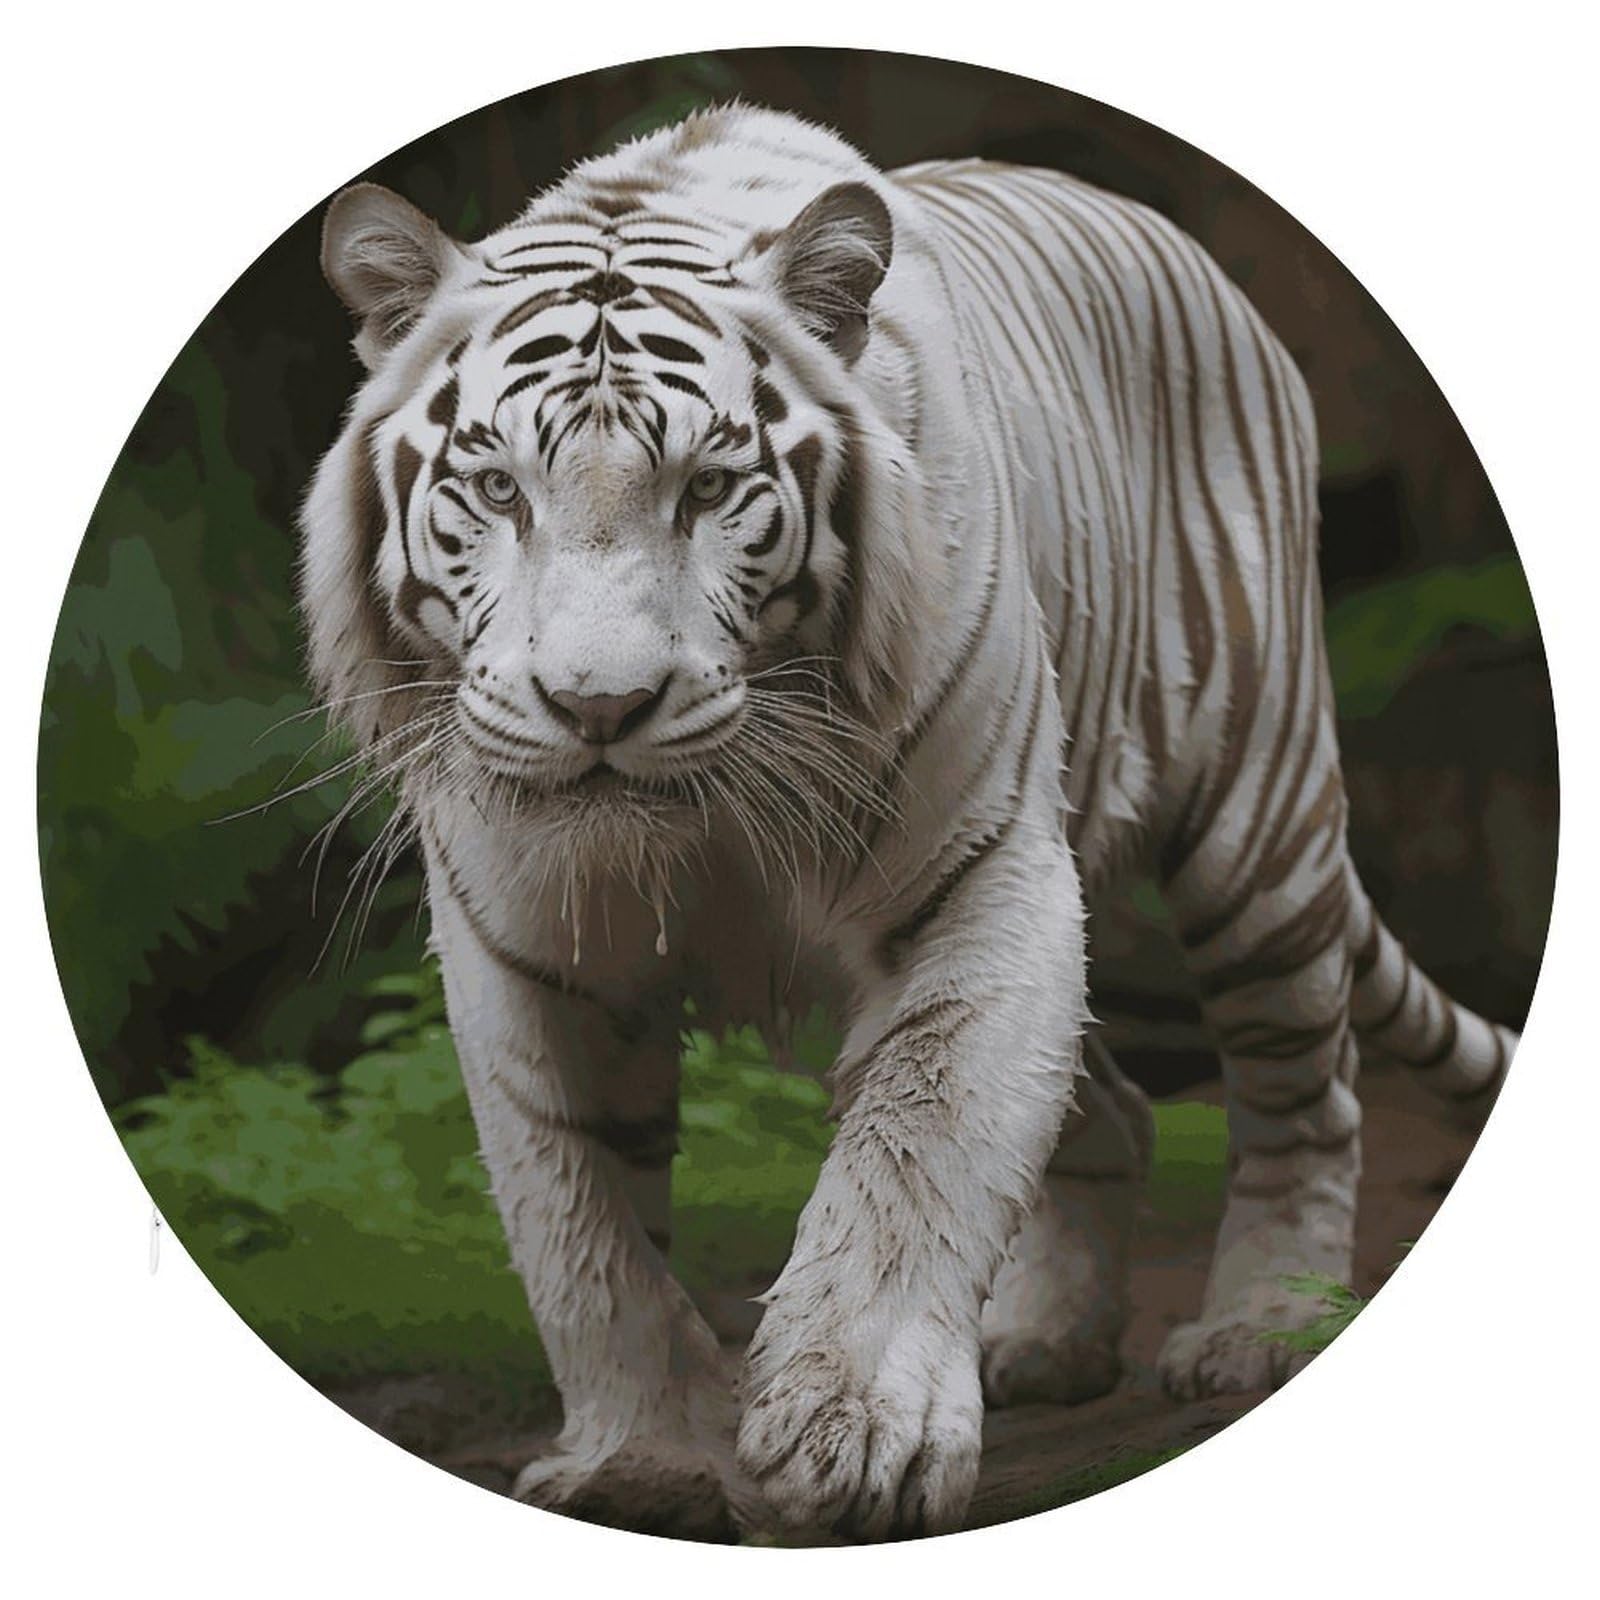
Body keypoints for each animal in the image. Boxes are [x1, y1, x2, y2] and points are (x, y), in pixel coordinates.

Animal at [300, 103, 1517, 1541]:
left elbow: (918, 1152)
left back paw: (1266, 1322)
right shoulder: (524, 950)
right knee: (1116, 1108)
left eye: (707, 488)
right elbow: (581, 1228)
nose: (600, 705)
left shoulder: (983, 877)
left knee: (1302, 1088)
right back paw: (1045, 1342)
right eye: (496, 490)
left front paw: (856, 1437)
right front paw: (640, 1461)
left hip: (1250, 825)